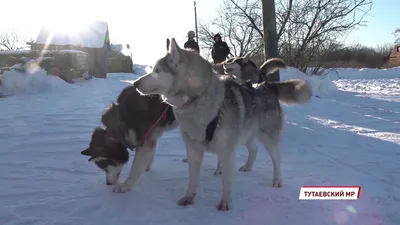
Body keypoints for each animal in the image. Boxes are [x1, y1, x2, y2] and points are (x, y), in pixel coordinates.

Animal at [134, 38, 312, 211]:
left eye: (157, 71)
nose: (135, 84)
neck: (197, 99)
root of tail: (266, 85)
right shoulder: (194, 150)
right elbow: (192, 180)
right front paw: (189, 198)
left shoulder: (227, 150)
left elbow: (226, 181)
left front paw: (225, 202)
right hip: (245, 133)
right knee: (253, 148)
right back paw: (247, 166)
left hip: (267, 136)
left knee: (276, 158)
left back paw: (277, 180)